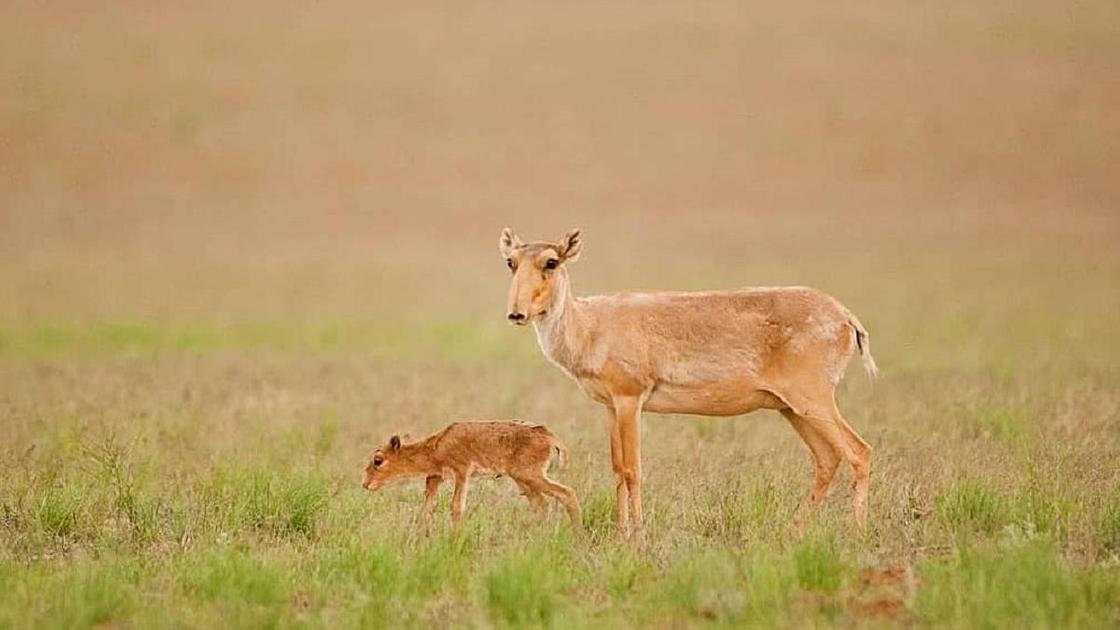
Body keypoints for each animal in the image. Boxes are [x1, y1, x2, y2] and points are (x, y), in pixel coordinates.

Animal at [497, 225, 873, 533]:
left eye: (551, 262)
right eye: (511, 262)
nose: (517, 313)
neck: (591, 324)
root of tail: (846, 316)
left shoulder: (631, 400)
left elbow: (633, 470)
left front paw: (638, 538)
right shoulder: (610, 407)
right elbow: (618, 469)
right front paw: (620, 535)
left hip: (814, 401)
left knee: (859, 451)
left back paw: (857, 533)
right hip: (791, 409)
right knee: (827, 459)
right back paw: (794, 531)